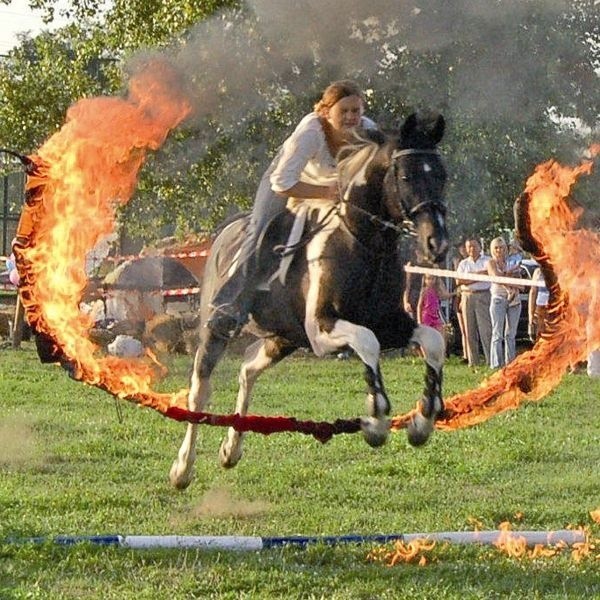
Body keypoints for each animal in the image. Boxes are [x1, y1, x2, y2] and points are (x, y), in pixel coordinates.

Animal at [171, 111, 448, 488]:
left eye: (443, 176)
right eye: (405, 175)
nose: (438, 244)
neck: (362, 242)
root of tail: (225, 233)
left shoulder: (390, 323)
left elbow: (433, 341)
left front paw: (422, 419)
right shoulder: (321, 330)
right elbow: (368, 343)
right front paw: (376, 419)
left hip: (283, 339)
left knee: (247, 369)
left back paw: (231, 450)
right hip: (218, 328)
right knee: (200, 388)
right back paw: (182, 469)